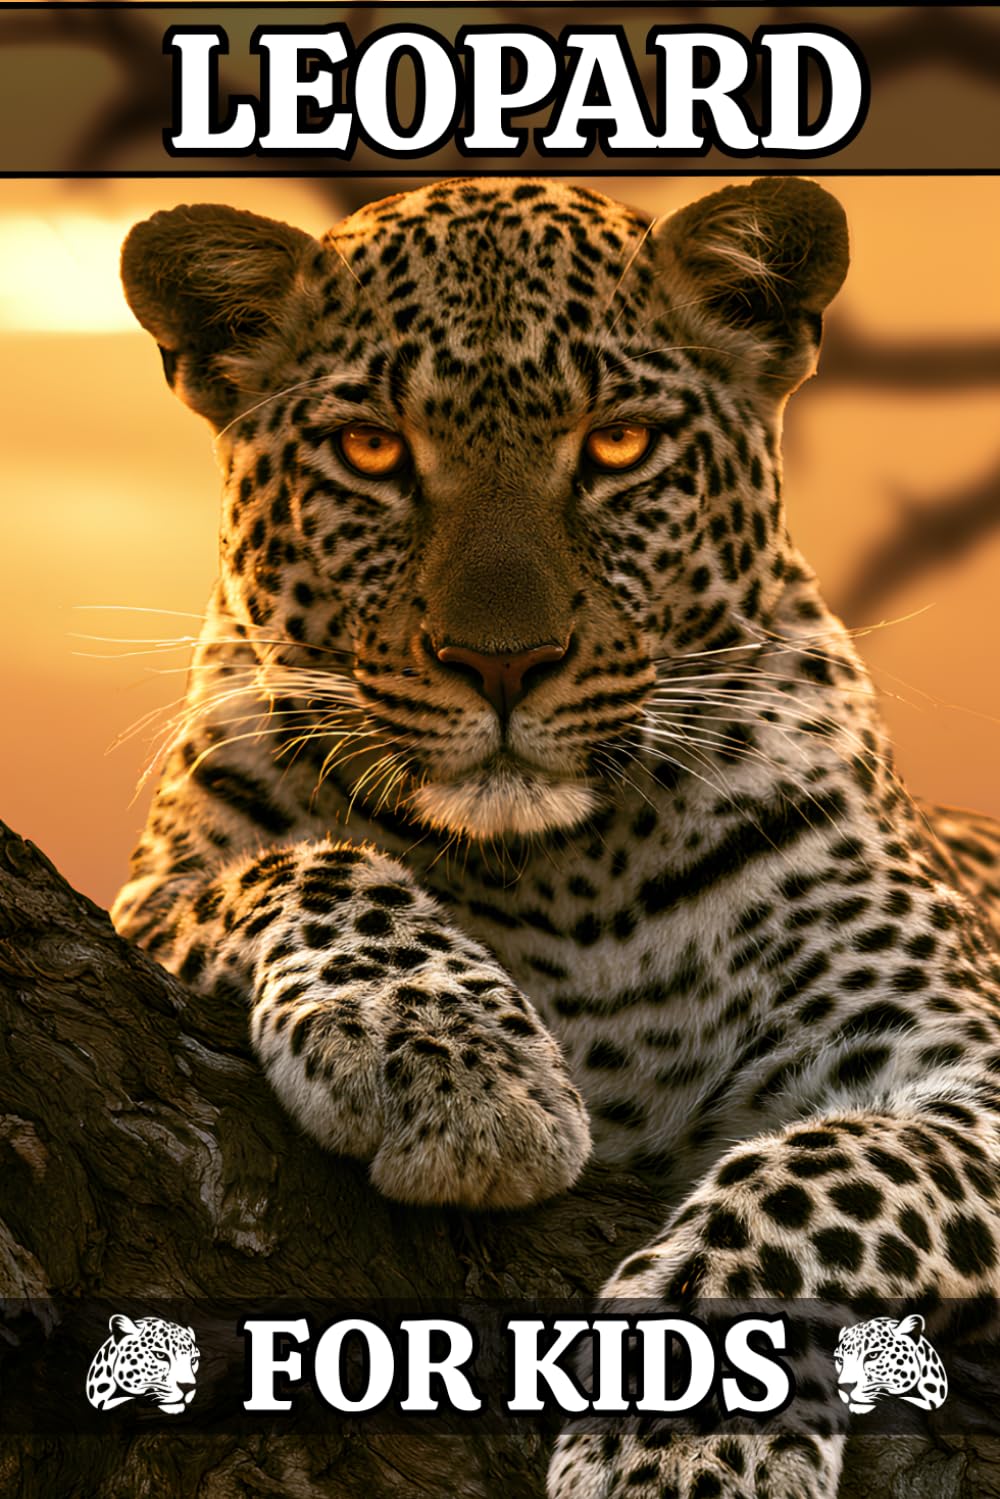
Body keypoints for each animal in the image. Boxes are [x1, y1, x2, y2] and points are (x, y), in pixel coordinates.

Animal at [112, 175, 1000, 1498]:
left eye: (619, 445)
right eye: (371, 450)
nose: (500, 663)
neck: (565, 871)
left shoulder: (958, 1056)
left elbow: (819, 1172)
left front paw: (684, 1443)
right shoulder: (152, 902)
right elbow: (310, 865)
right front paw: (457, 1068)